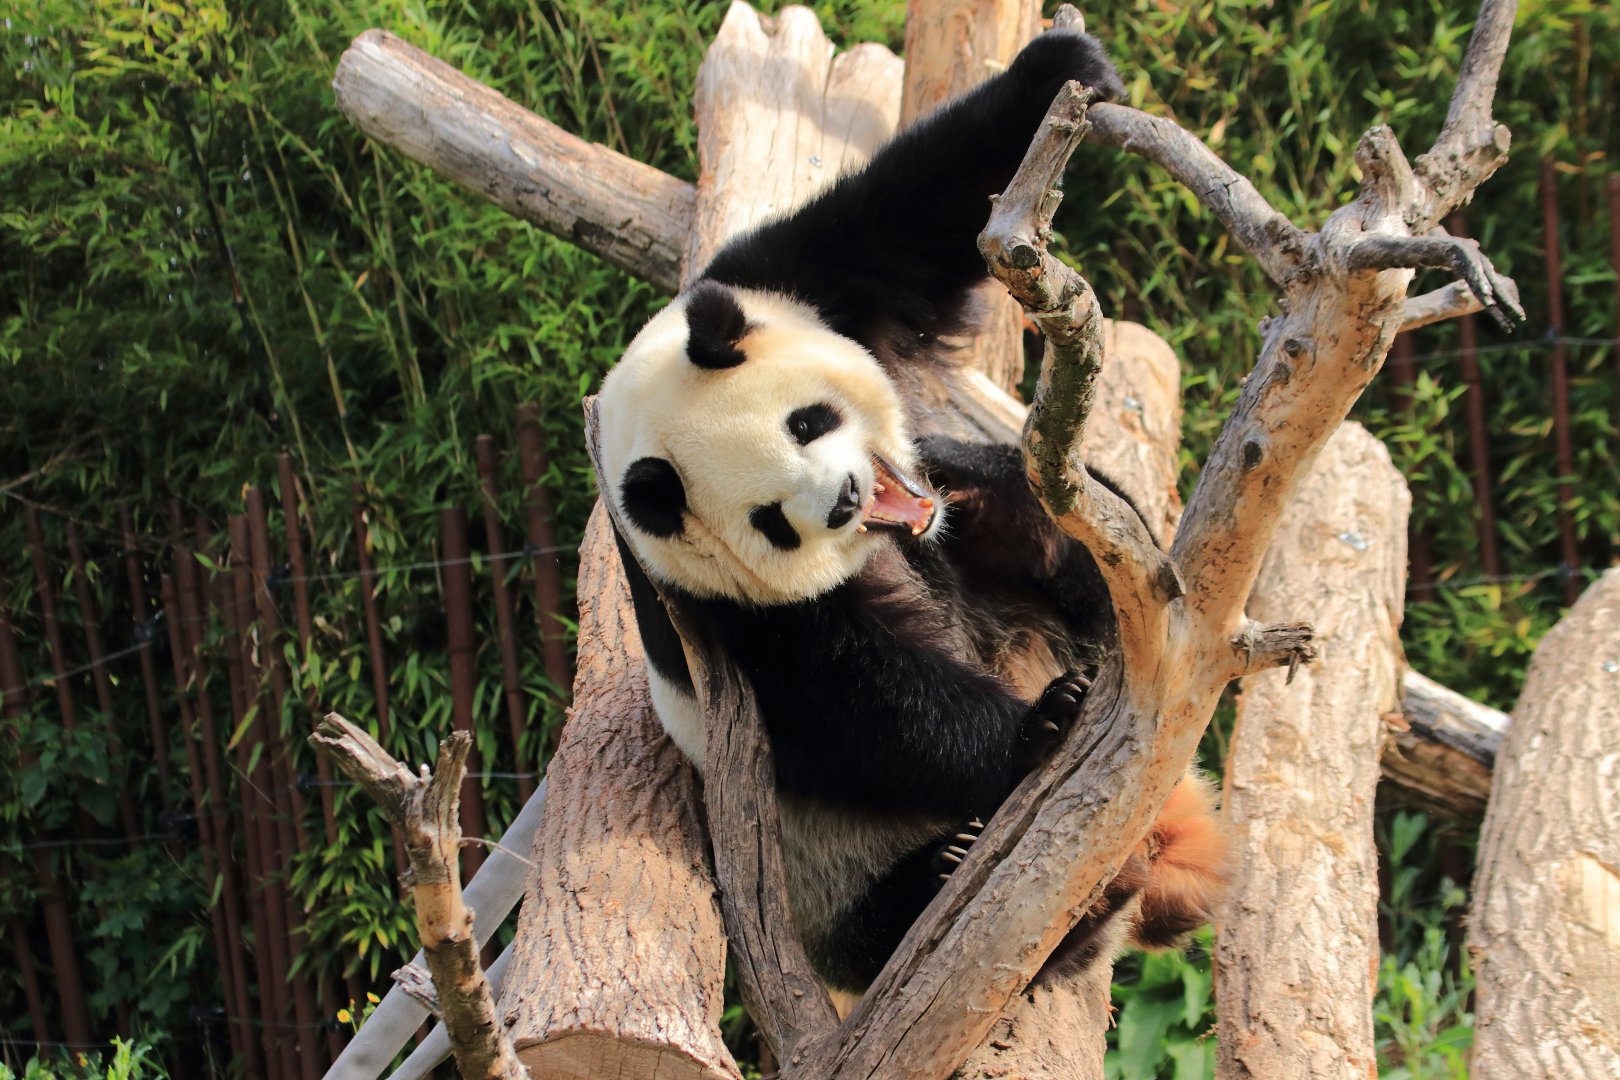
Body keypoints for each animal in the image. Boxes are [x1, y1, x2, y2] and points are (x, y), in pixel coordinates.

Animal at [597, 28, 1226, 994]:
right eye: (772, 519)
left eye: (807, 421)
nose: (847, 499)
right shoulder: (717, 612)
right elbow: (866, 703)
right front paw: (1038, 729)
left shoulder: (782, 281)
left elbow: (907, 218)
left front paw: (1062, 67)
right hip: (827, 880)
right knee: (890, 921)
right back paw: (986, 883)